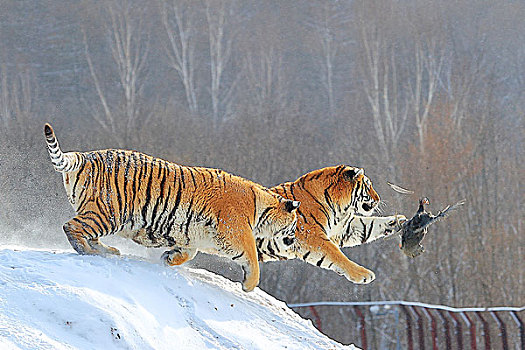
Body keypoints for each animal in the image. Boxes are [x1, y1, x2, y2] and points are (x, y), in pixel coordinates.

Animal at [44, 123, 298, 292]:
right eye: (295, 225)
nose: (294, 239)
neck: (261, 209)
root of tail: (86, 156)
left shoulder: (193, 235)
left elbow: (189, 252)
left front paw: (169, 258)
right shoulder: (235, 232)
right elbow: (252, 257)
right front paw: (249, 285)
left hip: (100, 213)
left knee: (87, 232)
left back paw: (109, 251)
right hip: (108, 213)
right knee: (72, 227)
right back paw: (91, 251)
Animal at [255, 165, 406, 284]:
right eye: (368, 185)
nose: (378, 199)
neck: (340, 209)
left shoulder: (344, 229)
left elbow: (370, 225)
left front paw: (399, 221)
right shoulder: (311, 236)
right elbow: (335, 254)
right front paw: (363, 275)